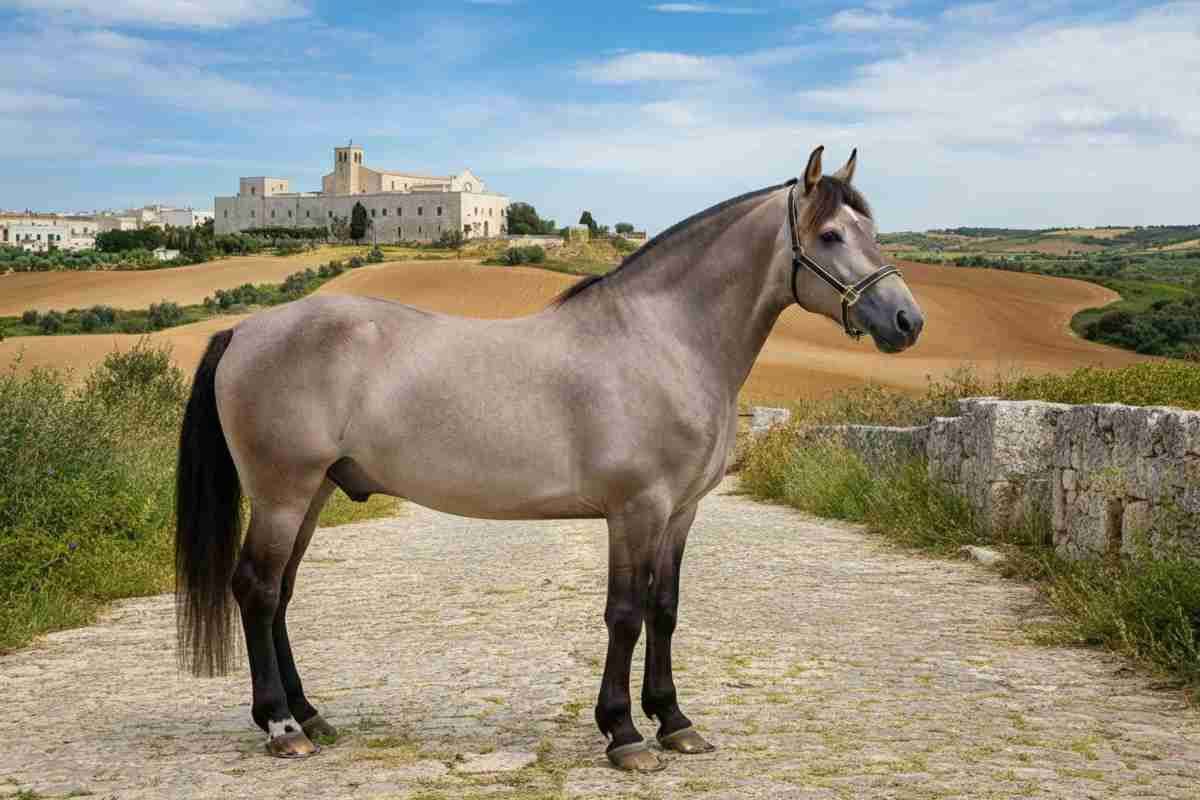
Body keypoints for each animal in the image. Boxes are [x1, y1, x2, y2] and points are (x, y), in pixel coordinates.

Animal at [175, 146, 925, 772]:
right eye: (830, 236)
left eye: (872, 230)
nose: (907, 321)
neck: (663, 341)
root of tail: (245, 329)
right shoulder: (634, 510)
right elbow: (625, 613)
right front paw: (624, 734)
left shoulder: (680, 513)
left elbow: (665, 610)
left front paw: (675, 721)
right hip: (283, 494)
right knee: (257, 590)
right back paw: (281, 728)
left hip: (314, 494)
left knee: (280, 596)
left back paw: (311, 716)